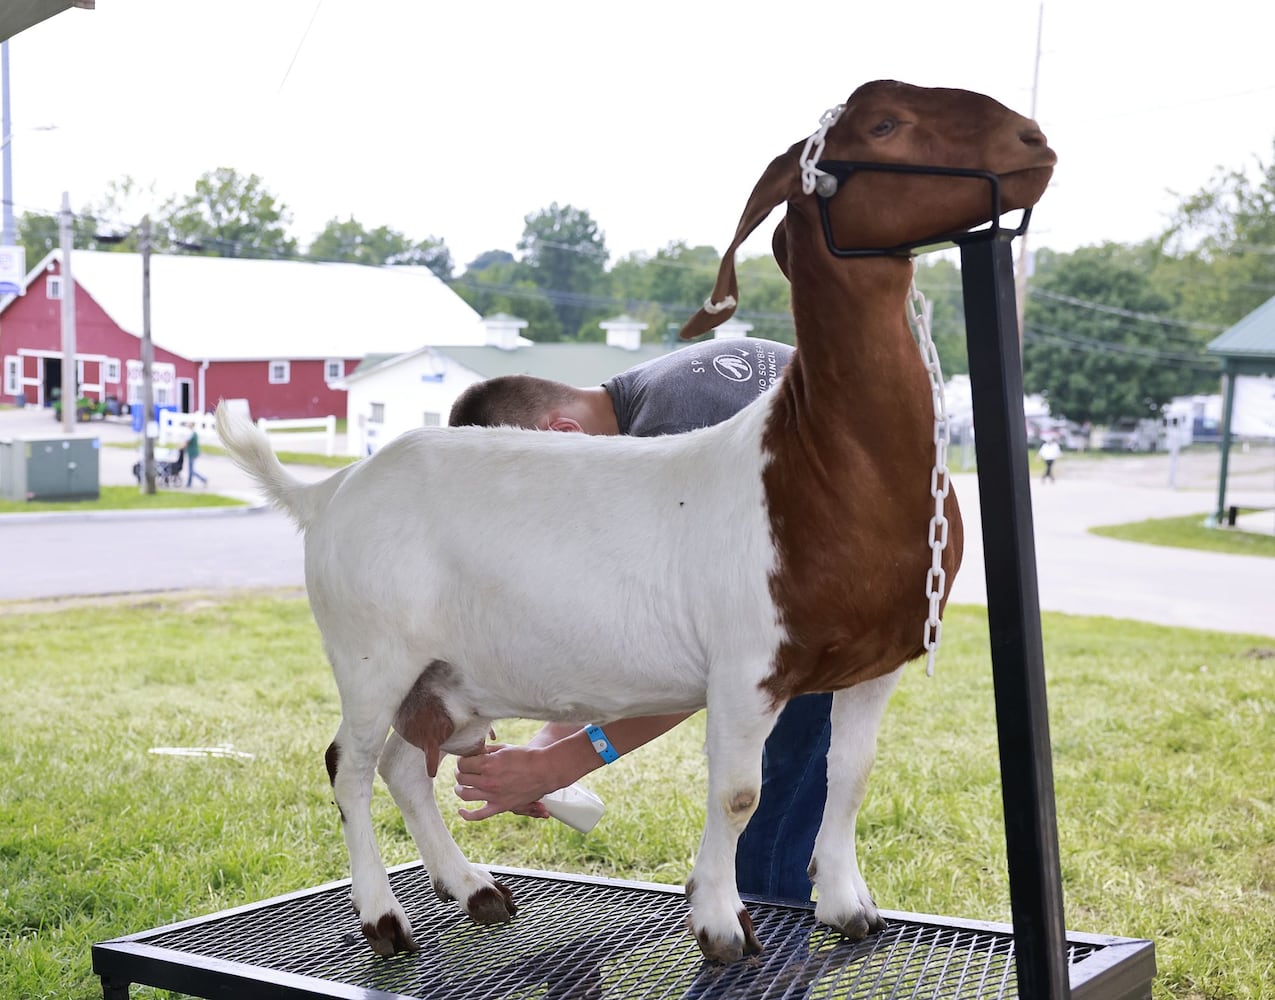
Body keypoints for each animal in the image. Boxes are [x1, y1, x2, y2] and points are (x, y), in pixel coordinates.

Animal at [216, 82, 1055, 964]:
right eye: (885, 124)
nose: (1031, 142)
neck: (814, 462)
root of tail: (329, 491)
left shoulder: (872, 667)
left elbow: (848, 777)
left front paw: (846, 907)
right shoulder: (745, 668)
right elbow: (736, 792)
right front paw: (719, 922)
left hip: (443, 674)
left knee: (405, 766)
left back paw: (472, 887)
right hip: (371, 652)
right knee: (348, 763)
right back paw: (384, 917)